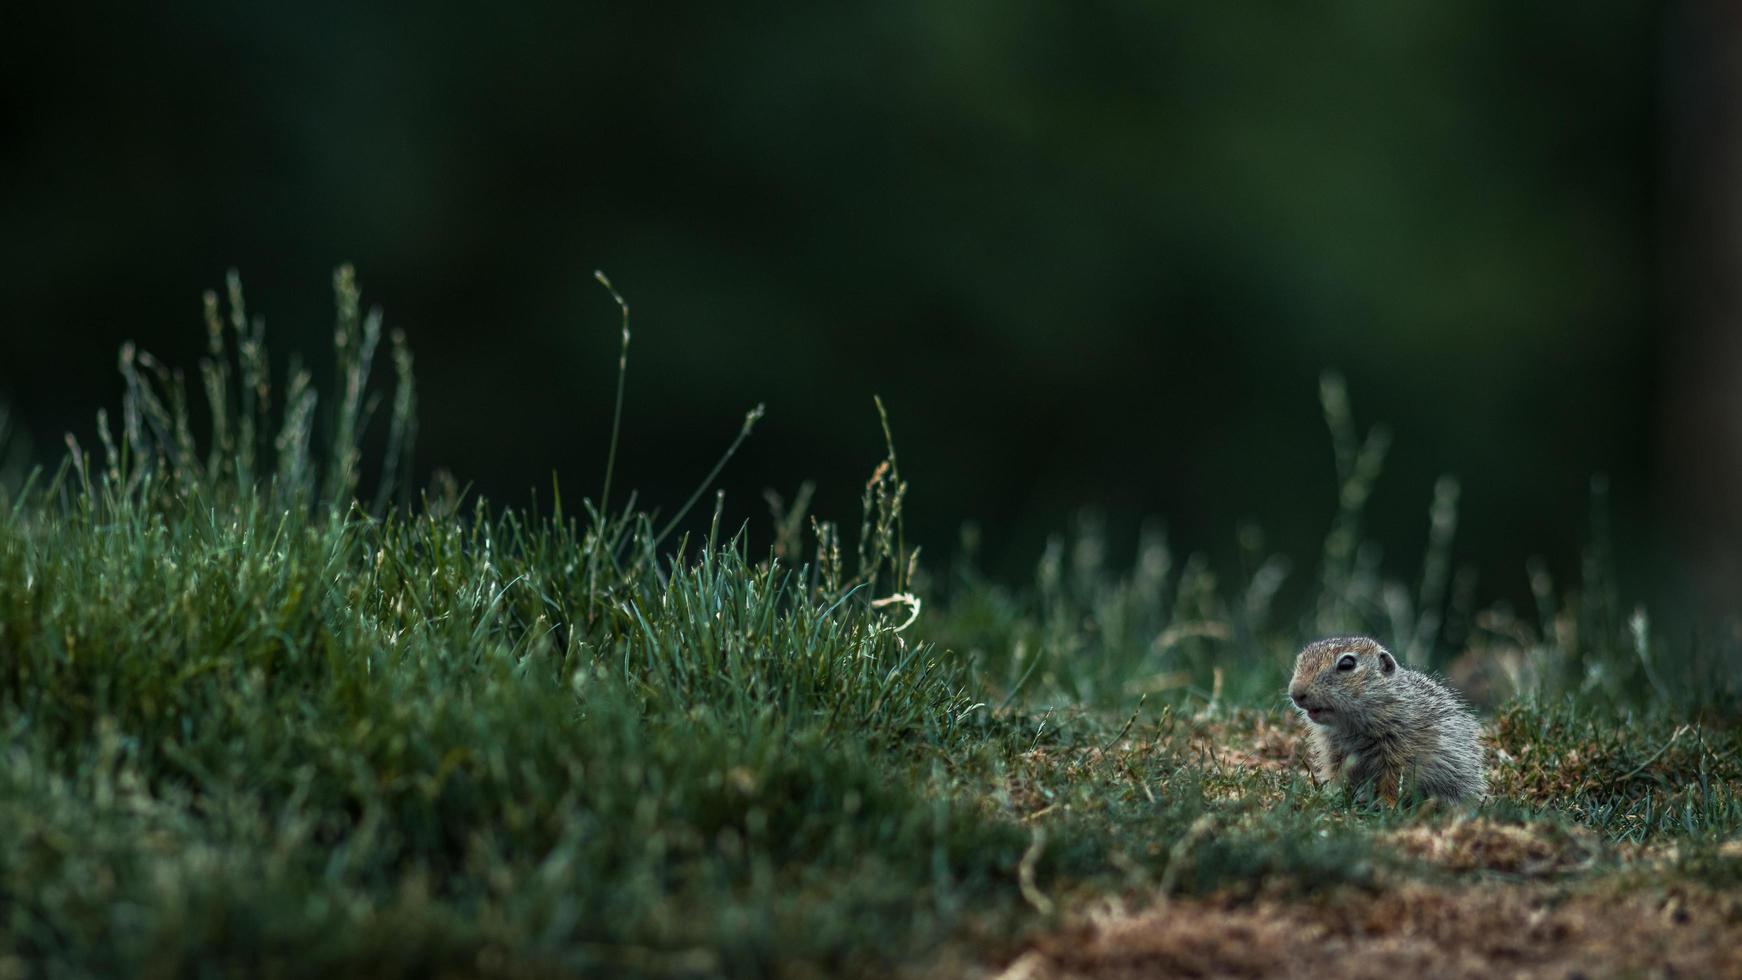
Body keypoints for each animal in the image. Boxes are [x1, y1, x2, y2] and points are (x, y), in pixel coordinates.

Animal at [1289, 637, 1491, 804]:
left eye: (1347, 664)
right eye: (1300, 660)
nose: (1295, 693)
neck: (1350, 727)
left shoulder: (1400, 751)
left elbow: (1393, 780)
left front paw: (1387, 804)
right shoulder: (1333, 753)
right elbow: (1336, 774)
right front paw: (1333, 795)